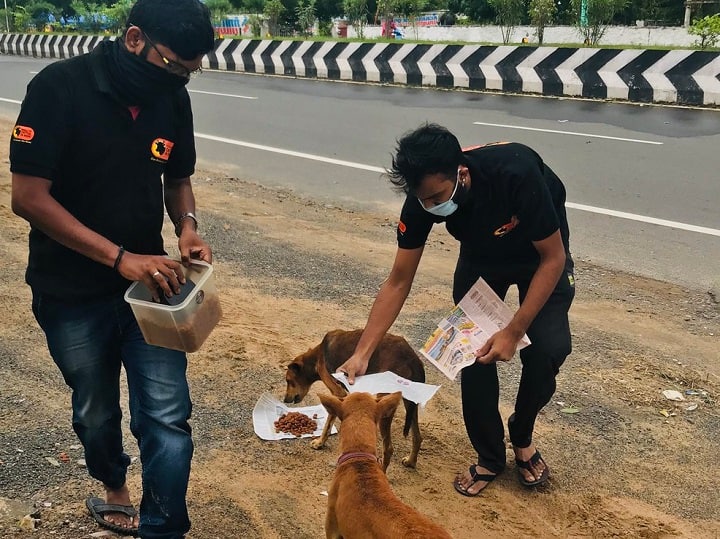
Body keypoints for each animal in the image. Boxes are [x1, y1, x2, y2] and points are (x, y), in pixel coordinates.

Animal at [284, 326, 424, 470]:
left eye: (288, 381)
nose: (285, 400)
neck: (317, 357)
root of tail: (413, 360)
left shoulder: (338, 392)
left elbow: (328, 424)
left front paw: (320, 443)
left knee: (389, 448)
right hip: (410, 403)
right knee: (417, 437)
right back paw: (411, 461)